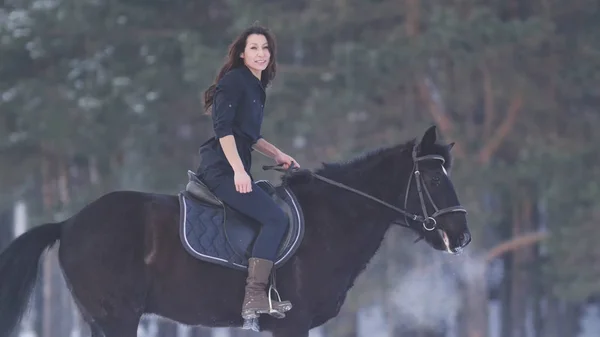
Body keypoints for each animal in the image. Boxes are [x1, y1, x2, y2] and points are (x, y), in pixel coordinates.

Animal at [0, 124, 468, 336]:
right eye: (433, 178)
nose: (461, 236)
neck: (330, 220)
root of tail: (69, 223)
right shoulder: (291, 324)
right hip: (117, 316)